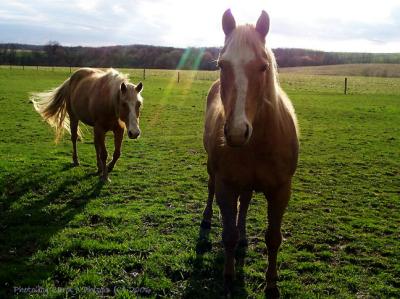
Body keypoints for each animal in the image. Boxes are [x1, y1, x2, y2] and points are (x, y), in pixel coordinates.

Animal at [202, 9, 298, 298]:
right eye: (222, 65)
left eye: (263, 66)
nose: (236, 132)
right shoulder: (226, 186)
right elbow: (228, 235)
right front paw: (228, 278)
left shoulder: (281, 190)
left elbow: (273, 238)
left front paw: (272, 284)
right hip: (213, 172)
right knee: (211, 189)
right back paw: (207, 218)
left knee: (244, 204)